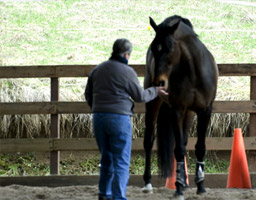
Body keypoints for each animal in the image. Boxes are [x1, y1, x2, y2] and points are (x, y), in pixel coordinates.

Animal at [142, 15, 218, 198]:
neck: (194, 72)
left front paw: (200, 186)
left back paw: (185, 182)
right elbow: (179, 150)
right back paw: (148, 183)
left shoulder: (205, 111)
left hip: (190, 114)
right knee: (149, 141)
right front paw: (177, 188)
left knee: (183, 140)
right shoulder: (177, 111)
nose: (159, 83)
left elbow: (200, 148)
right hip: (153, 104)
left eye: (169, 48)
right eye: (154, 48)